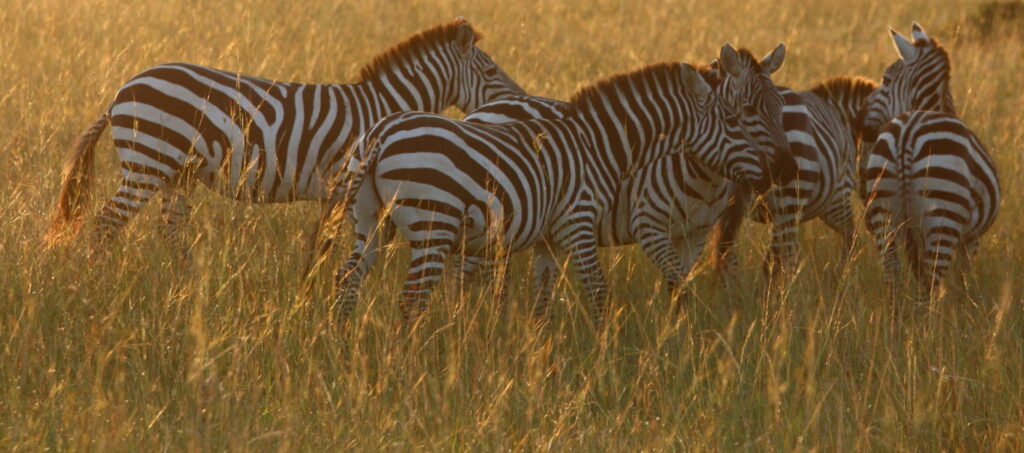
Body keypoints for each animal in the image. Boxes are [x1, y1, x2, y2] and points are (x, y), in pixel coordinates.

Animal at [45, 18, 524, 254]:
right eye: (491, 73)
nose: (521, 98)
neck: (380, 108)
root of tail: (121, 91)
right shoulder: (344, 184)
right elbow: (327, 243)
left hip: (175, 175)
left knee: (170, 231)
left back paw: (180, 286)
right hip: (147, 165)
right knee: (106, 224)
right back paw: (102, 283)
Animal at [328, 44, 796, 329]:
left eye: (780, 107)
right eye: (741, 115)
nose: (783, 169)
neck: (598, 144)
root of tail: (379, 135)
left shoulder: (551, 240)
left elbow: (543, 303)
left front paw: (541, 359)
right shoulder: (588, 224)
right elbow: (602, 294)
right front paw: (609, 360)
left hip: (372, 223)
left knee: (347, 281)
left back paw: (347, 346)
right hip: (433, 226)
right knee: (412, 301)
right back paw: (413, 361)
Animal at [713, 75, 879, 281]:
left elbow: (792, 255)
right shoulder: (837, 199)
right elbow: (851, 238)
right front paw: (840, 273)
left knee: (728, 258)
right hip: (792, 200)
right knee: (770, 261)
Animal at [859, 24, 1000, 303]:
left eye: (886, 80)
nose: (859, 123)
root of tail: (907, 134)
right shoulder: (970, 238)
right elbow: (963, 277)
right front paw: (964, 306)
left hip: (883, 213)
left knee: (893, 273)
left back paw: (897, 315)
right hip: (943, 213)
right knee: (931, 284)